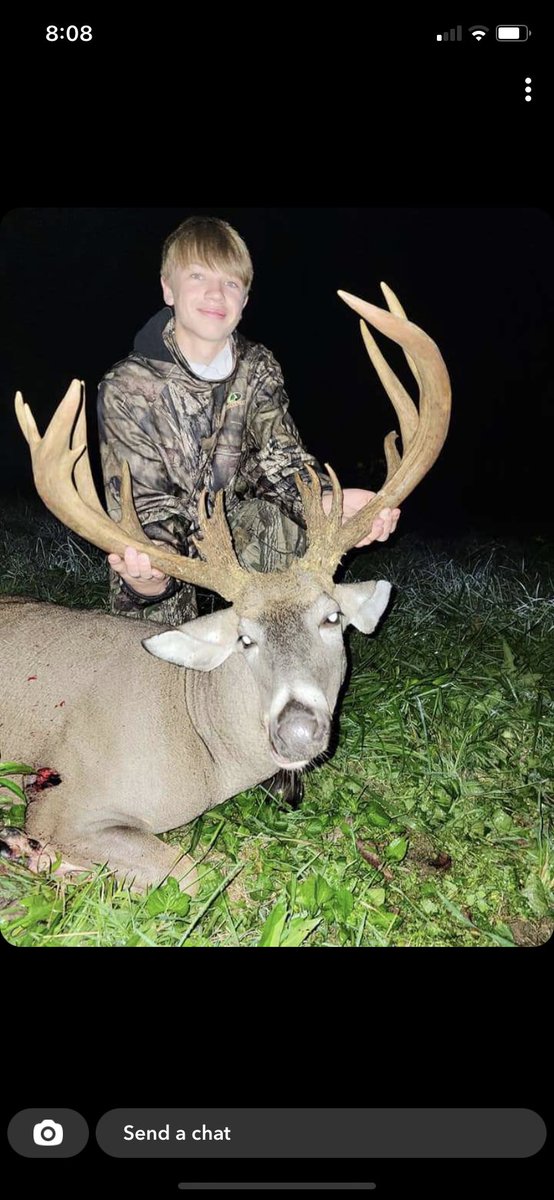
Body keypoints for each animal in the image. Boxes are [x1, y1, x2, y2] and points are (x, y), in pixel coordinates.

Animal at [0, 286, 451, 894]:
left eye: (331, 618)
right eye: (244, 638)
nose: (298, 730)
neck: (201, 745)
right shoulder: (64, 804)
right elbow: (202, 876)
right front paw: (51, 861)